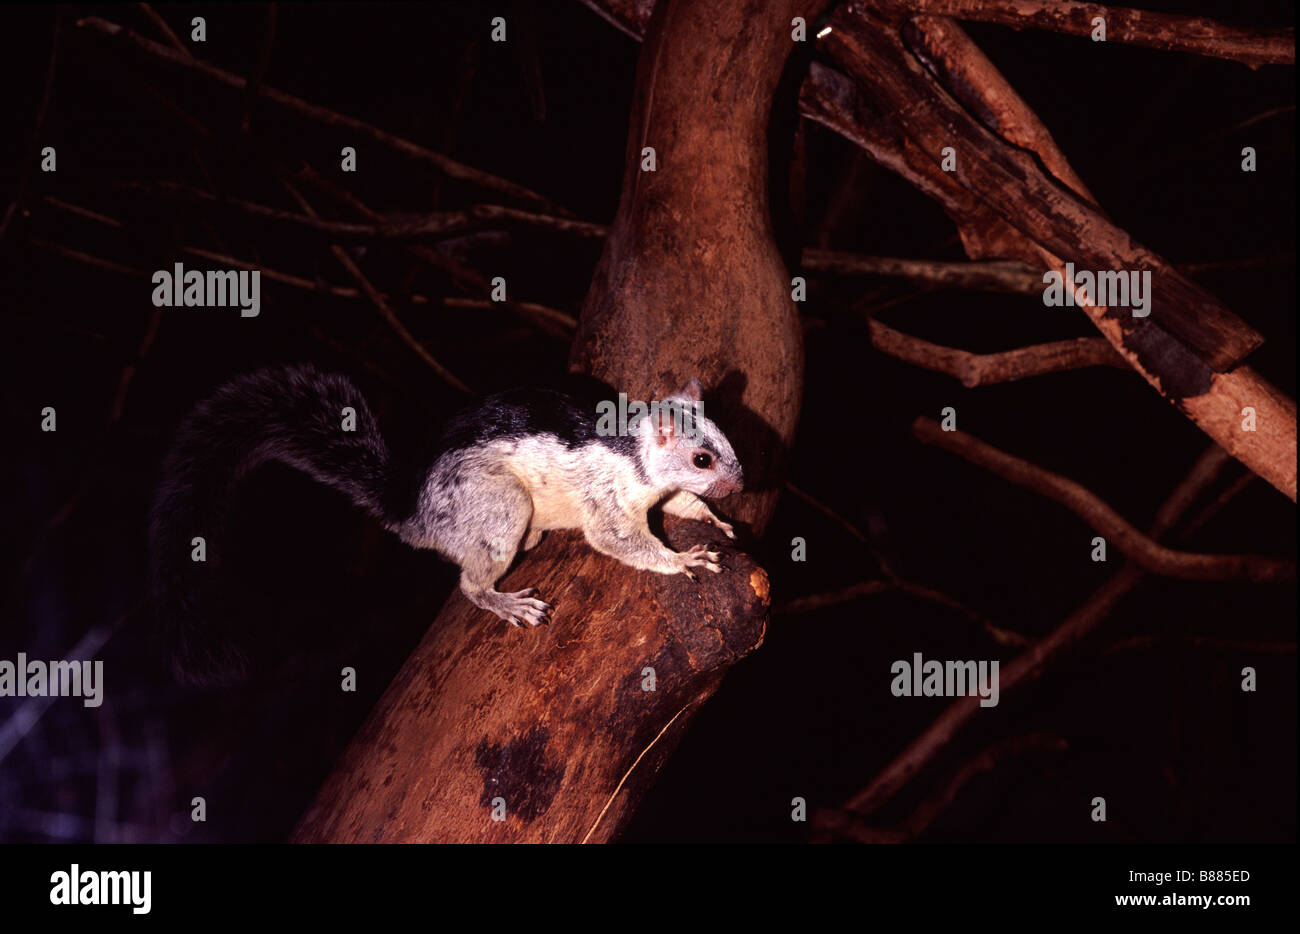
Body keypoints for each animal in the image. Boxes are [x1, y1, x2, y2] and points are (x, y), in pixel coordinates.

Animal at [149, 364, 744, 684]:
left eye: (727, 439)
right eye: (702, 459)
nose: (740, 484)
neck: (637, 456)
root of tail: (412, 512)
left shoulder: (663, 493)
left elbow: (682, 509)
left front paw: (719, 523)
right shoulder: (607, 501)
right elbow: (621, 540)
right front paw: (683, 558)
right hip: (498, 504)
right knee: (469, 583)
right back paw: (505, 601)